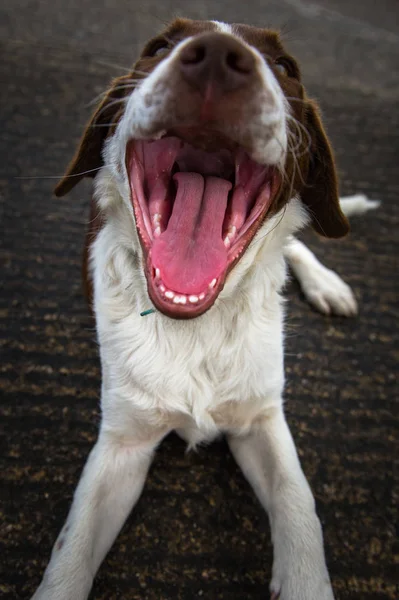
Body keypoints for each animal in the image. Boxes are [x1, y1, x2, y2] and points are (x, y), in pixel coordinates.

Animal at [30, 18, 378, 600]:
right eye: (157, 47)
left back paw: (325, 283)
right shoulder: (121, 444)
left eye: (285, 66)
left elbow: (299, 507)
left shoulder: (261, 417)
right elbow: (69, 557)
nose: (217, 56)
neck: (195, 325)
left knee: (296, 245)